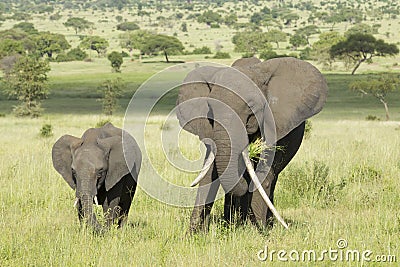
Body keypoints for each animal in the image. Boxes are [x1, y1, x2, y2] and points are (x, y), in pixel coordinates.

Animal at [177, 57, 328, 233]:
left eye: (252, 107)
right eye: (210, 108)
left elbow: (263, 174)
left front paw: (258, 232)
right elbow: (208, 173)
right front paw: (195, 234)